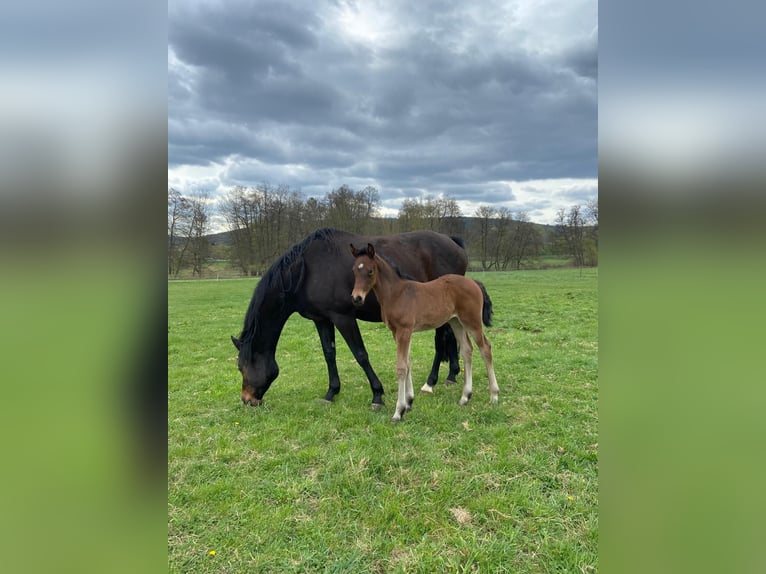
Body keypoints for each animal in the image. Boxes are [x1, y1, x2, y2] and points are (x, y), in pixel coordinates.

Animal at [231, 228, 469, 408]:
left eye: (241, 367)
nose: (247, 399)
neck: (307, 270)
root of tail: (453, 242)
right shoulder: (322, 320)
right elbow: (329, 354)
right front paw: (331, 393)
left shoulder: (343, 318)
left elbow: (360, 354)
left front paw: (377, 394)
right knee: (449, 337)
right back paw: (452, 374)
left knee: (441, 339)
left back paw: (431, 382)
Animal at [350, 242, 499, 422]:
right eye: (354, 270)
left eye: (370, 271)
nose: (356, 298)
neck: (396, 294)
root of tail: (474, 282)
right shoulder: (397, 332)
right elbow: (407, 363)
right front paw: (408, 403)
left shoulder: (404, 331)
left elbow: (401, 367)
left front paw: (398, 412)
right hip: (456, 321)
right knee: (467, 349)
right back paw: (465, 397)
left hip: (472, 321)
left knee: (485, 348)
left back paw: (494, 396)